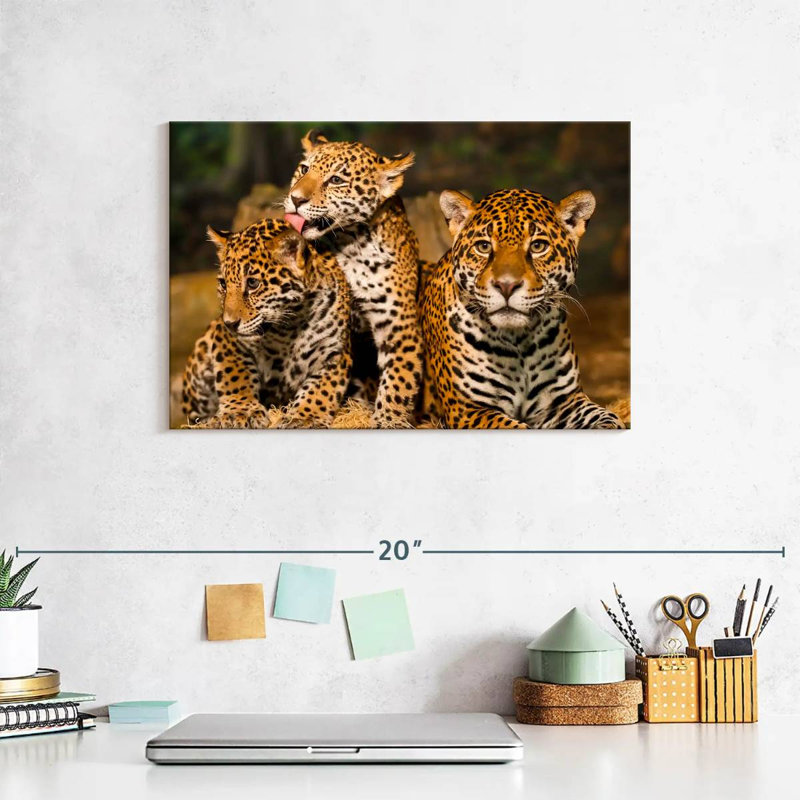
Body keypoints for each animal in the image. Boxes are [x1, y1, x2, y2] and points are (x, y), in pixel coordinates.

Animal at [181, 218, 352, 429]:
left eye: (253, 283)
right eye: (223, 284)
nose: (229, 323)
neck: (291, 325)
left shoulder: (335, 352)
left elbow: (321, 389)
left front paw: (305, 417)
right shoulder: (227, 340)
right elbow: (235, 374)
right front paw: (240, 411)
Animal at [283, 130, 423, 428]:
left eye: (336, 180)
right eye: (304, 169)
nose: (295, 199)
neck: (351, 245)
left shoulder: (399, 325)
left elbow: (399, 379)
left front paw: (388, 420)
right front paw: (303, 415)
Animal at [421, 188, 624, 429]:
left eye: (538, 246)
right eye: (483, 247)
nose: (506, 286)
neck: (519, 342)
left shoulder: (564, 401)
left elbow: (606, 417)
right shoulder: (468, 410)